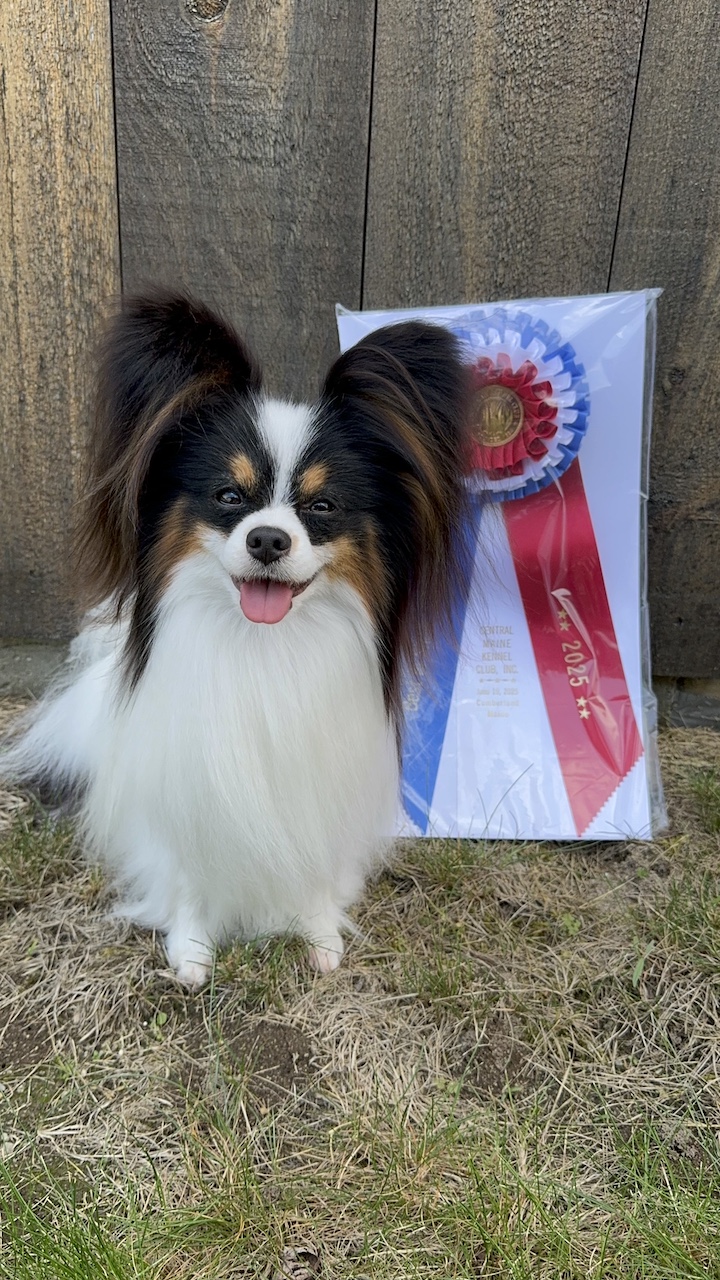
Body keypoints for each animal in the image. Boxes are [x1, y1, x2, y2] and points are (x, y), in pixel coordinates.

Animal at [1, 292, 472, 985]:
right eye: (228, 496)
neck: (261, 647)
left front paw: (320, 934)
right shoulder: (183, 791)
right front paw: (191, 950)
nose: (268, 538)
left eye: (322, 507)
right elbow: (187, 876)